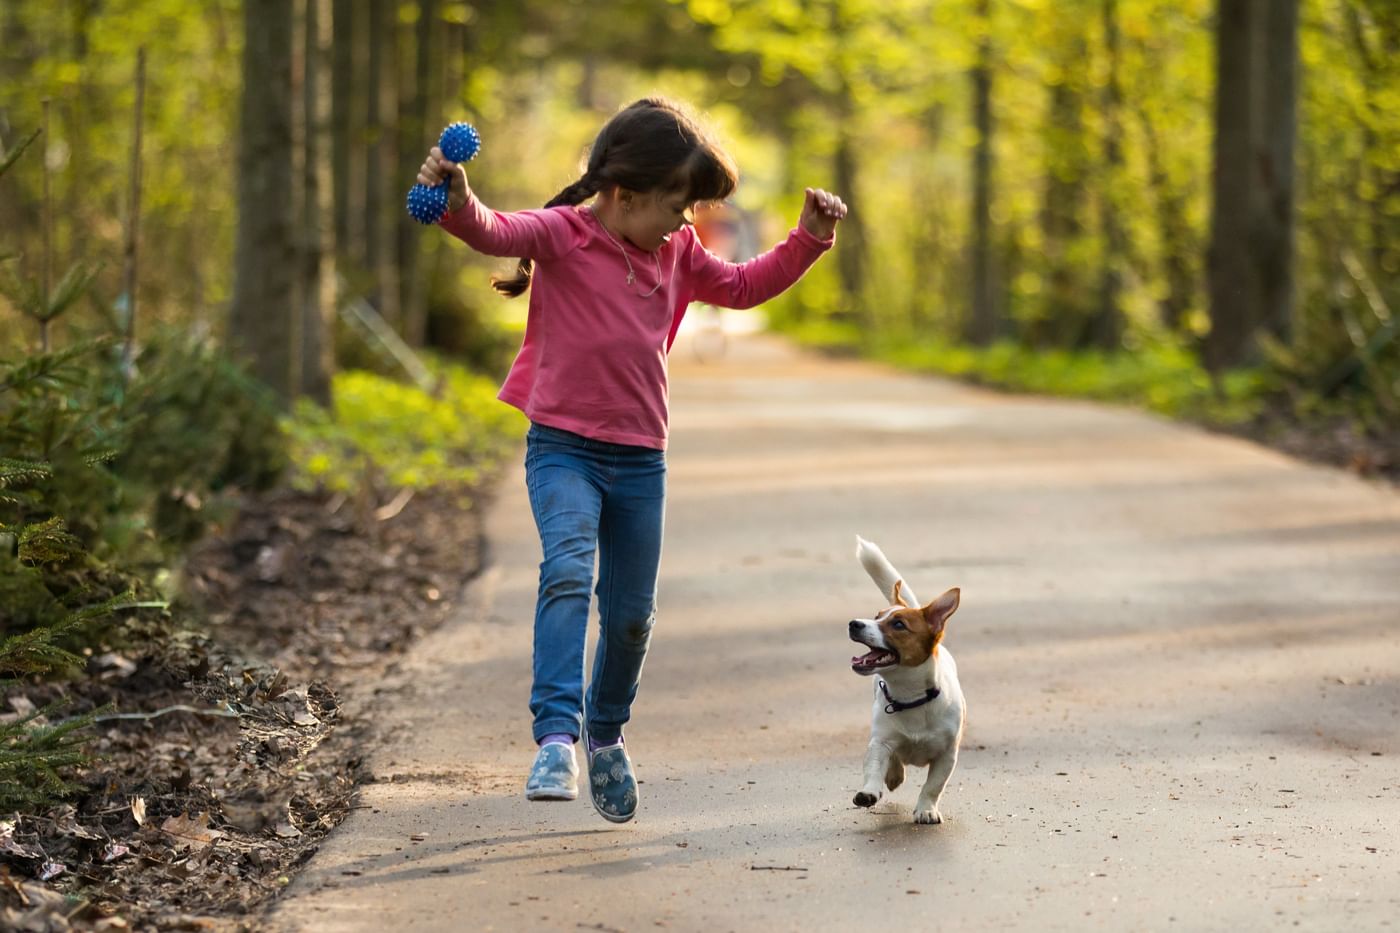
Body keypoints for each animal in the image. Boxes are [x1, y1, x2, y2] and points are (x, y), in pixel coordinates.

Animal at [845, 529, 968, 823]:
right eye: (877, 616)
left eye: (898, 624)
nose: (854, 623)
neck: (909, 697)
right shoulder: (880, 742)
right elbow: (874, 767)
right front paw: (869, 791)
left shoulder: (947, 756)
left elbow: (933, 785)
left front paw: (926, 809)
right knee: (894, 759)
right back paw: (893, 775)